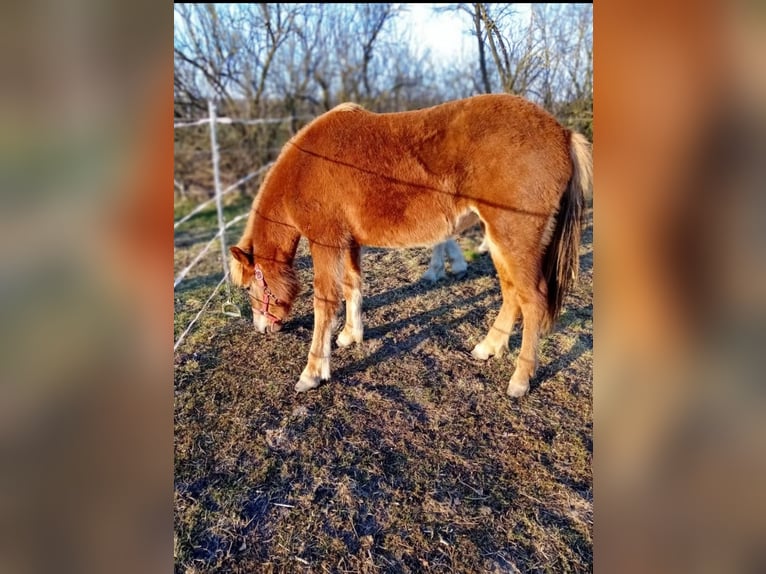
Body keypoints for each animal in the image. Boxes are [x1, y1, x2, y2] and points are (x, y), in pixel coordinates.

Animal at [230, 95, 592, 400]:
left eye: (249, 286)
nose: (262, 328)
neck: (308, 165)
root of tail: (562, 133)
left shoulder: (327, 243)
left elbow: (325, 302)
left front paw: (313, 371)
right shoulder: (349, 242)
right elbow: (352, 286)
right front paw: (351, 335)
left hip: (513, 240)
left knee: (532, 300)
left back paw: (520, 379)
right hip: (500, 241)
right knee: (511, 293)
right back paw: (488, 347)